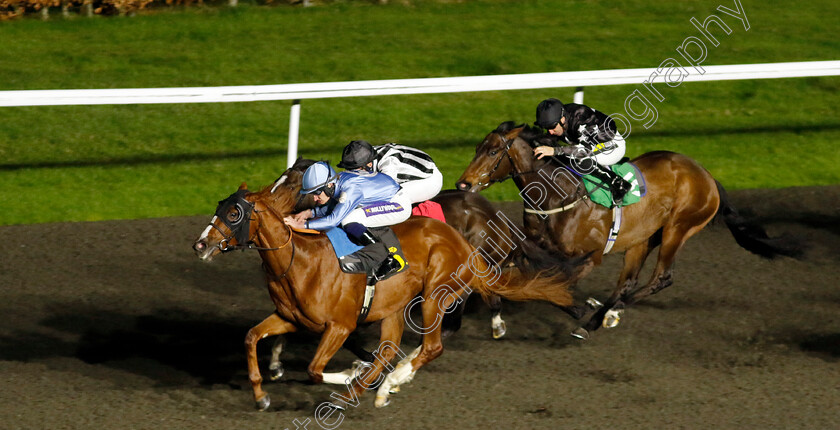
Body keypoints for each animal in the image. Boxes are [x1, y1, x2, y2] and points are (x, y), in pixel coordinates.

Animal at [191, 159, 588, 410]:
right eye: (219, 205)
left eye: (233, 213)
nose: (201, 245)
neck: (300, 261)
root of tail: (464, 243)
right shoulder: (291, 318)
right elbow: (252, 337)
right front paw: (262, 392)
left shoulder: (340, 325)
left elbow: (315, 370)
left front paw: (350, 374)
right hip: (395, 308)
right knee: (393, 348)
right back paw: (386, 380)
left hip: (435, 294)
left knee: (432, 346)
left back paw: (387, 384)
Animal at [456, 121, 804, 340]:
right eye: (476, 148)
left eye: (492, 151)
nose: (463, 184)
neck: (558, 195)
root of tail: (706, 176)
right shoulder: (535, 247)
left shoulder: (589, 255)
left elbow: (556, 281)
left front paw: (576, 308)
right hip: (643, 239)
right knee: (629, 281)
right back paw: (601, 315)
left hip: (678, 228)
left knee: (660, 278)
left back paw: (605, 316)